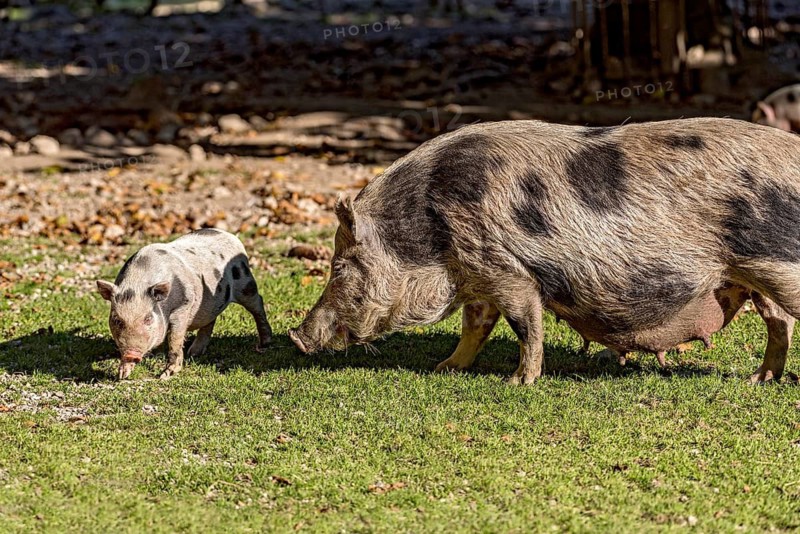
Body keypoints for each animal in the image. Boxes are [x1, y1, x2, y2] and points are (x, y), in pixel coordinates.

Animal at [97, 228, 272, 380]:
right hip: (210, 301)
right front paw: (122, 375)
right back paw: (194, 353)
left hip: (246, 283)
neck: (137, 282)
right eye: (117, 320)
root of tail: (231, 236)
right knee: (210, 319)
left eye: (148, 318)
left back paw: (265, 343)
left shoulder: (183, 306)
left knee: (258, 303)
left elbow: (175, 338)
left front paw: (165, 375)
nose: (131, 353)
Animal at [289, 118, 800, 385]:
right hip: (755, 275)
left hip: (777, 263)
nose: (296, 337)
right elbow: (476, 325)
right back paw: (760, 379)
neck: (431, 235)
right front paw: (444, 369)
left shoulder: (509, 271)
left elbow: (524, 326)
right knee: (778, 323)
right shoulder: (477, 275)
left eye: (340, 268)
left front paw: (519, 382)